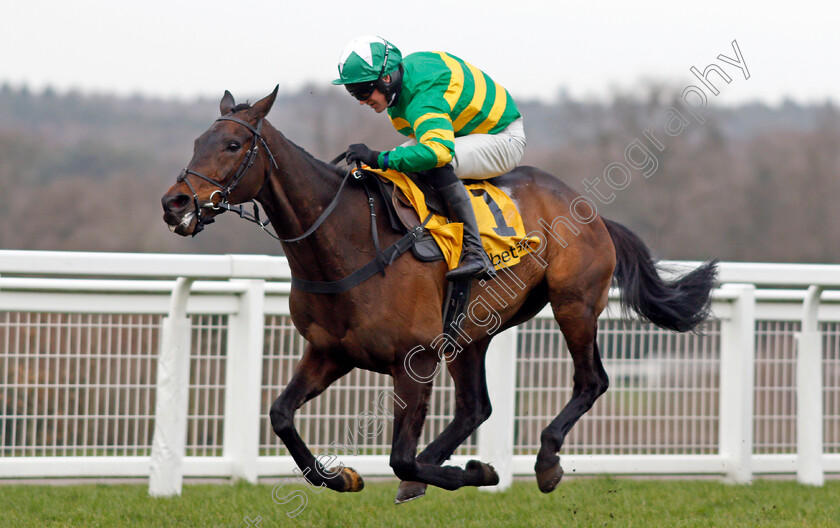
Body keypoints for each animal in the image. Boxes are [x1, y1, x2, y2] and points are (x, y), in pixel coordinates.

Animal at [162, 87, 716, 504]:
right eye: (197, 140)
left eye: (234, 144)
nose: (176, 202)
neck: (346, 242)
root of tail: (591, 211)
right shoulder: (329, 352)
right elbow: (280, 415)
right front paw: (343, 477)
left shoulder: (416, 360)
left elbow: (399, 456)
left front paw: (475, 473)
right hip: (472, 331)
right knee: (475, 407)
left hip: (572, 304)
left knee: (591, 380)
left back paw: (544, 460)